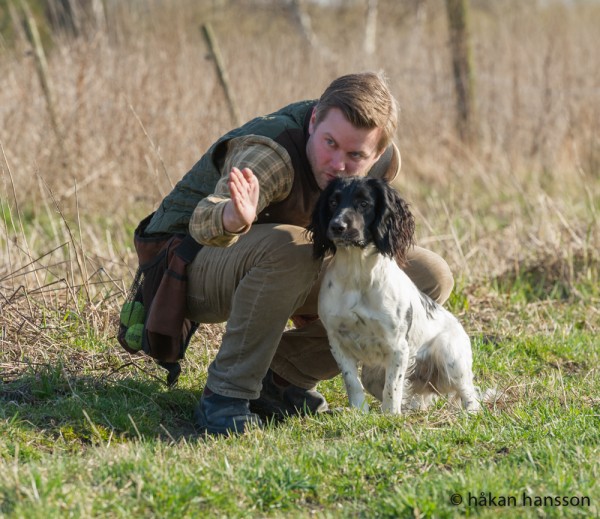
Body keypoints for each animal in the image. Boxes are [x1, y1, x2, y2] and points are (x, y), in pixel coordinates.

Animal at [312, 178, 480, 414]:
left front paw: (390, 415)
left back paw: (471, 412)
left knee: (469, 392)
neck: (357, 275)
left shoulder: (398, 346)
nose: (337, 226)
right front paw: (359, 414)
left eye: (364, 203)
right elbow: (352, 382)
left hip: (449, 355)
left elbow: (393, 385)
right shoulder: (337, 341)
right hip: (373, 375)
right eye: (333, 202)